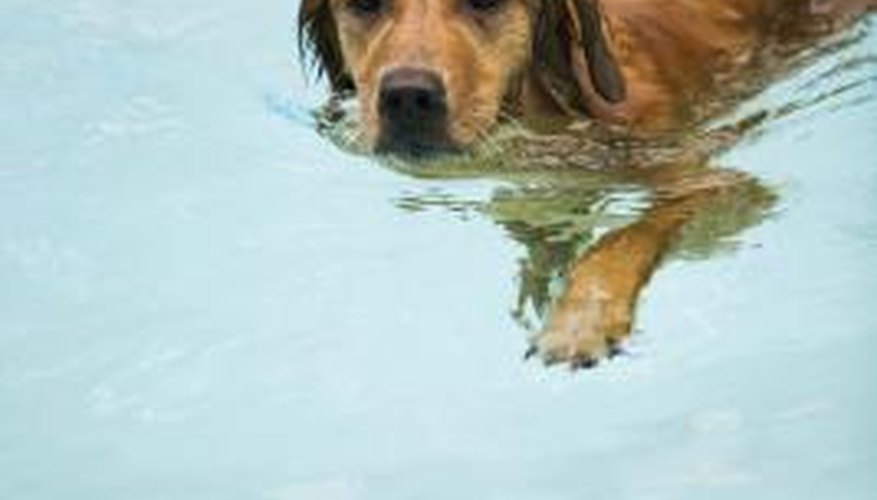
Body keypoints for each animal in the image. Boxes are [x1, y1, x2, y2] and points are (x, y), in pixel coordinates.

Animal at [298, 0, 872, 368]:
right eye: (364, 2)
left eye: (484, 0)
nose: (407, 97)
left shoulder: (720, 182)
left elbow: (625, 234)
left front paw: (580, 321)